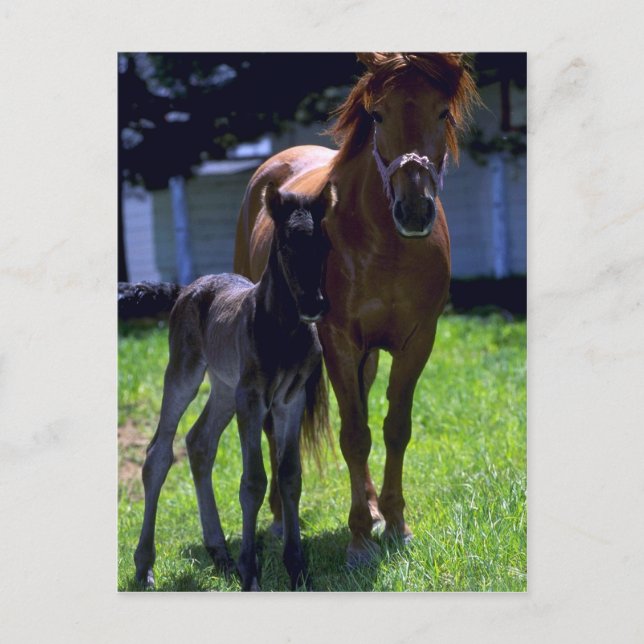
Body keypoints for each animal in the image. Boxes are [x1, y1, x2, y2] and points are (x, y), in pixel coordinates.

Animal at [134, 182, 336, 591]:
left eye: (324, 244)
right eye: (285, 245)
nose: (313, 304)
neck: (284, 331)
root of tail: (187, 287)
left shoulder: (291, 399)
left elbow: (290, 476)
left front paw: (296, 568)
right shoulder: (253, 398)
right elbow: (254, 481)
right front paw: (251, 572)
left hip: (225, 388)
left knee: (199, 442)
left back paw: (219, 553)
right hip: (185, 372)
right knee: (159, 452)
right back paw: (145, 565)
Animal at [234, 52, 479, 566]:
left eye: (442, 113)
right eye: (378, 115)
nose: (414, 210)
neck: (386, 246)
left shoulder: (416, 343)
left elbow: (393, 428)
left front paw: (396, 523)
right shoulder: (339, 343)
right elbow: (354, 436)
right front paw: (361, 539)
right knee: (272, 426)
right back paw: (279, 519)